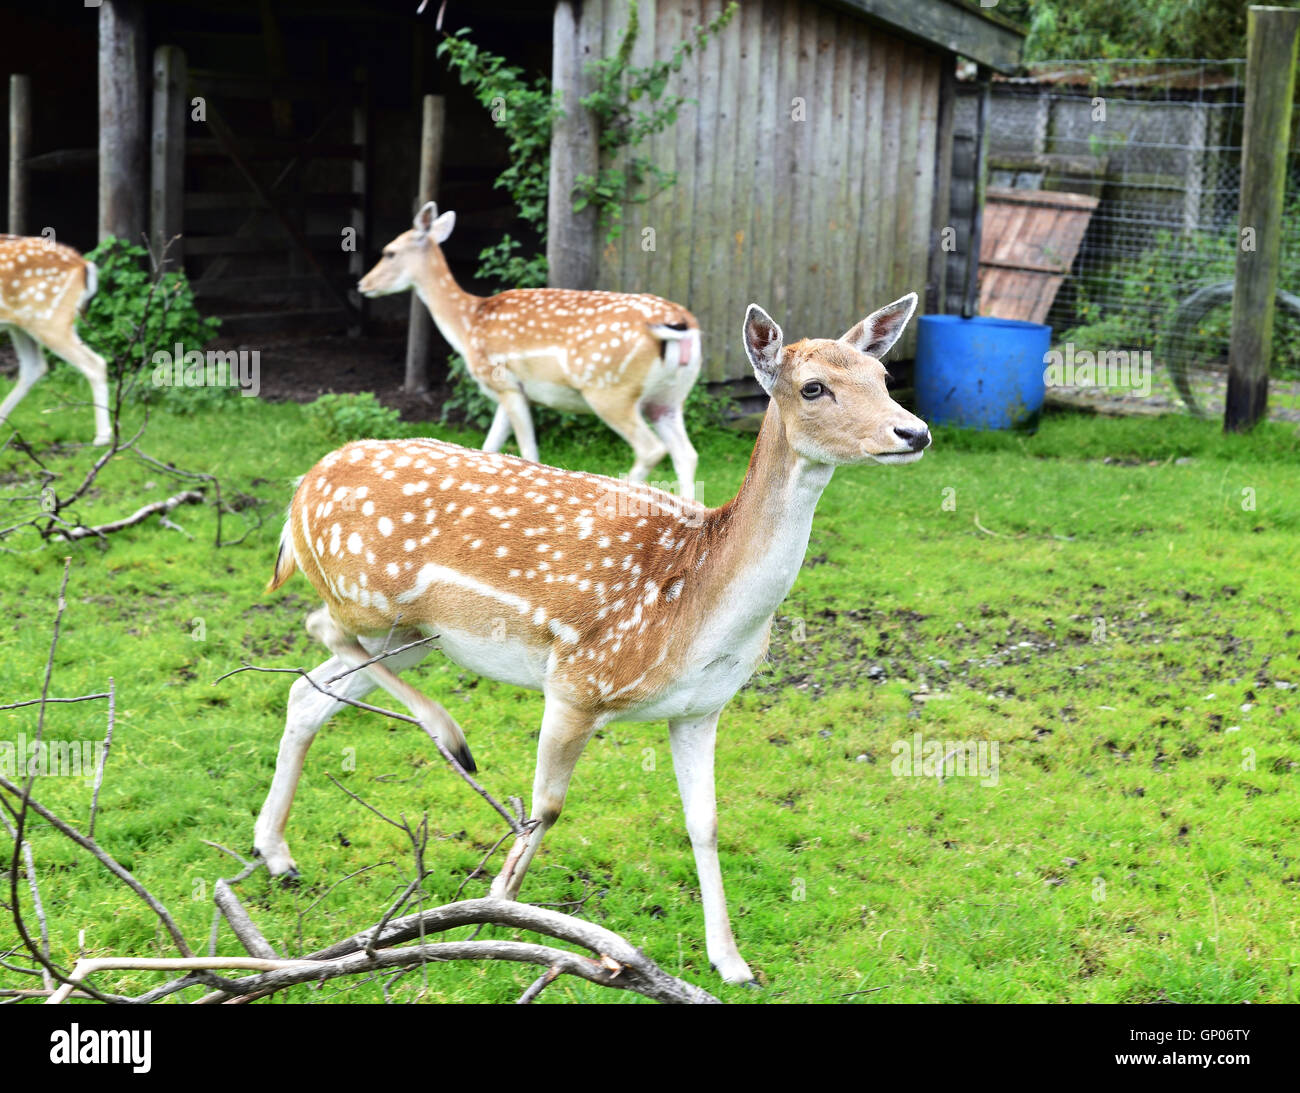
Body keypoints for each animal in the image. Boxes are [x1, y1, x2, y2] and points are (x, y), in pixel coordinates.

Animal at [0, 236, 110, 444]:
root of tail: (83, 264)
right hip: (22, 324)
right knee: (34, 367)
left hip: (50, 320)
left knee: (95, 363)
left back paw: (102, 438)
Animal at [261, 289, 935, 982]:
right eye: (813, 387)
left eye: (883, 376)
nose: (913, 432)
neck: (698, 610)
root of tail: (301, 490)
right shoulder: (577, 681)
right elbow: (547, 806)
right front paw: (496, 915)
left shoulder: (702, 709)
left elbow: (705, 822)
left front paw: (731, 963)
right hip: (367, 598)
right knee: (316, 629)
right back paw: (450, 737)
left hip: (415, 638)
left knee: (308, 695)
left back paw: (277, 855)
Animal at [356, 198, 702, 493]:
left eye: (389, 252)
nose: (362, 284)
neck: (469, 324)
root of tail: (683, 325)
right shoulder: (510, 389)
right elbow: (489, 447)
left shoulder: (505, 381)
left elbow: (528, 452)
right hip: (669, 398)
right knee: (687, 454)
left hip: (610, 389)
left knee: (651, 449)